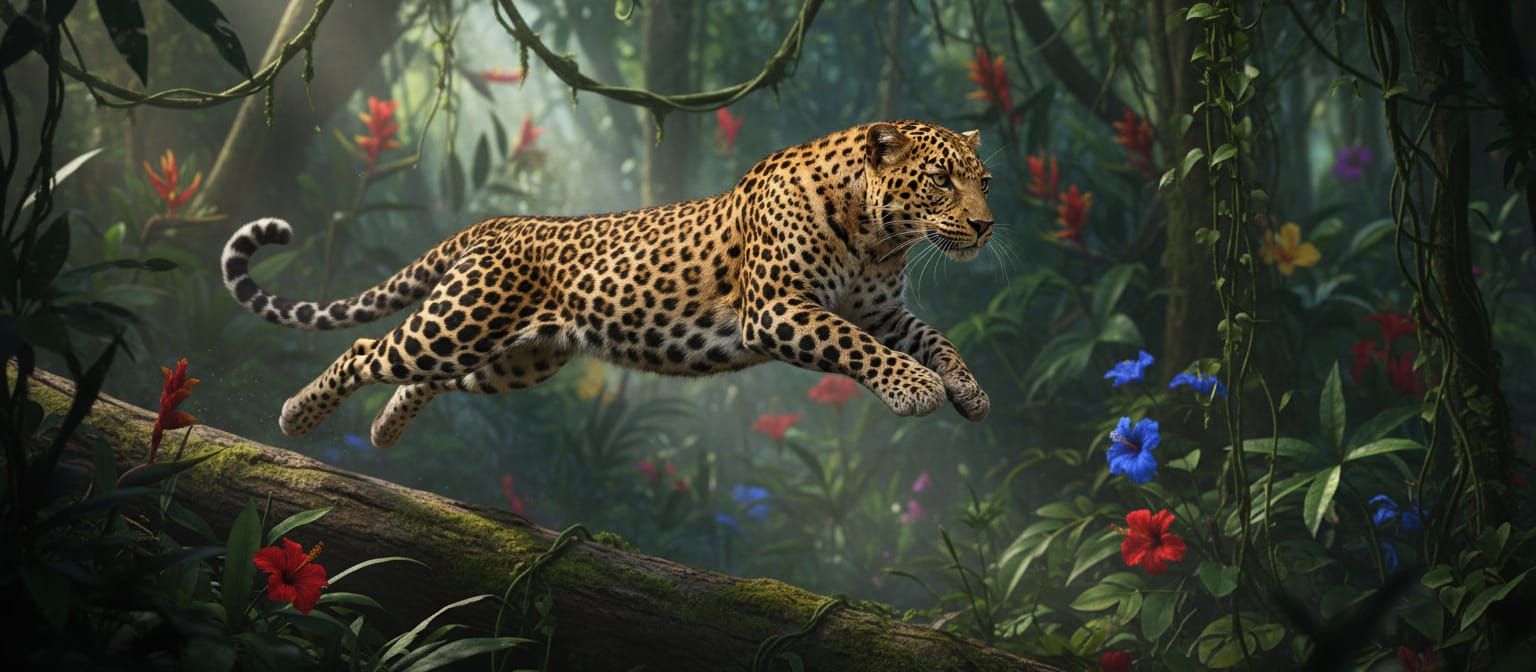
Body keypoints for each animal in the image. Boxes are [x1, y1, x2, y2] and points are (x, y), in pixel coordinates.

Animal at [221, 120, 995, 448]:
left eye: (983, 181)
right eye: (940, 179)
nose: (986, 226)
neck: (878, 235)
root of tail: (499, 223)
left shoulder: (882, 313)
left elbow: (939, 340)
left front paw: (968, 391)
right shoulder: (779, 308)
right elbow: (855, 346)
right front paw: (915, 389)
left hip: (515, 357)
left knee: (431, 378)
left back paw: (384, 429)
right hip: (460, 323)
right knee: (368, 352)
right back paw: (298, 415)